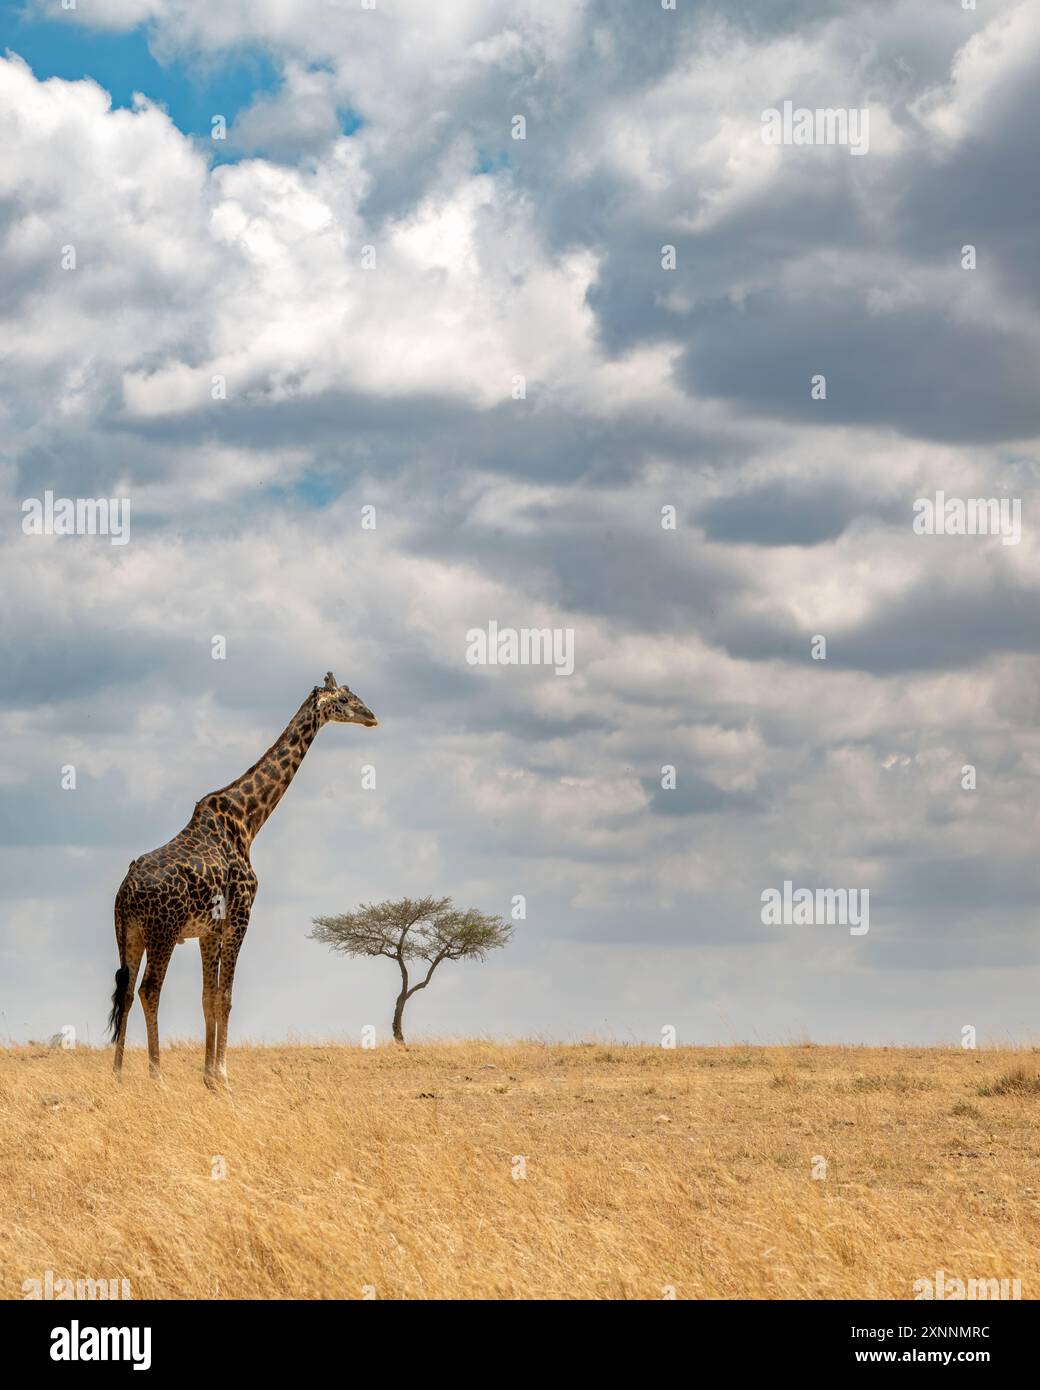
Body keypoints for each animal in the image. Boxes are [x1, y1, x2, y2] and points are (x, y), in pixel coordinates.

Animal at [108, 672, 378, 1084]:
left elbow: (208, 997)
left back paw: (118, 1074)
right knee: (149, 990)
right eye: (345, 699)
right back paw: (157, 1075)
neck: (248, 821)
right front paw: (222, 1075)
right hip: (162, 932)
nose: (372, 716)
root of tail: (126, 892)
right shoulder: (239, 918)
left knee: (124, 990)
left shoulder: (209, 931)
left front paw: (208, 1075)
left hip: (129, 933)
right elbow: (226, 997)